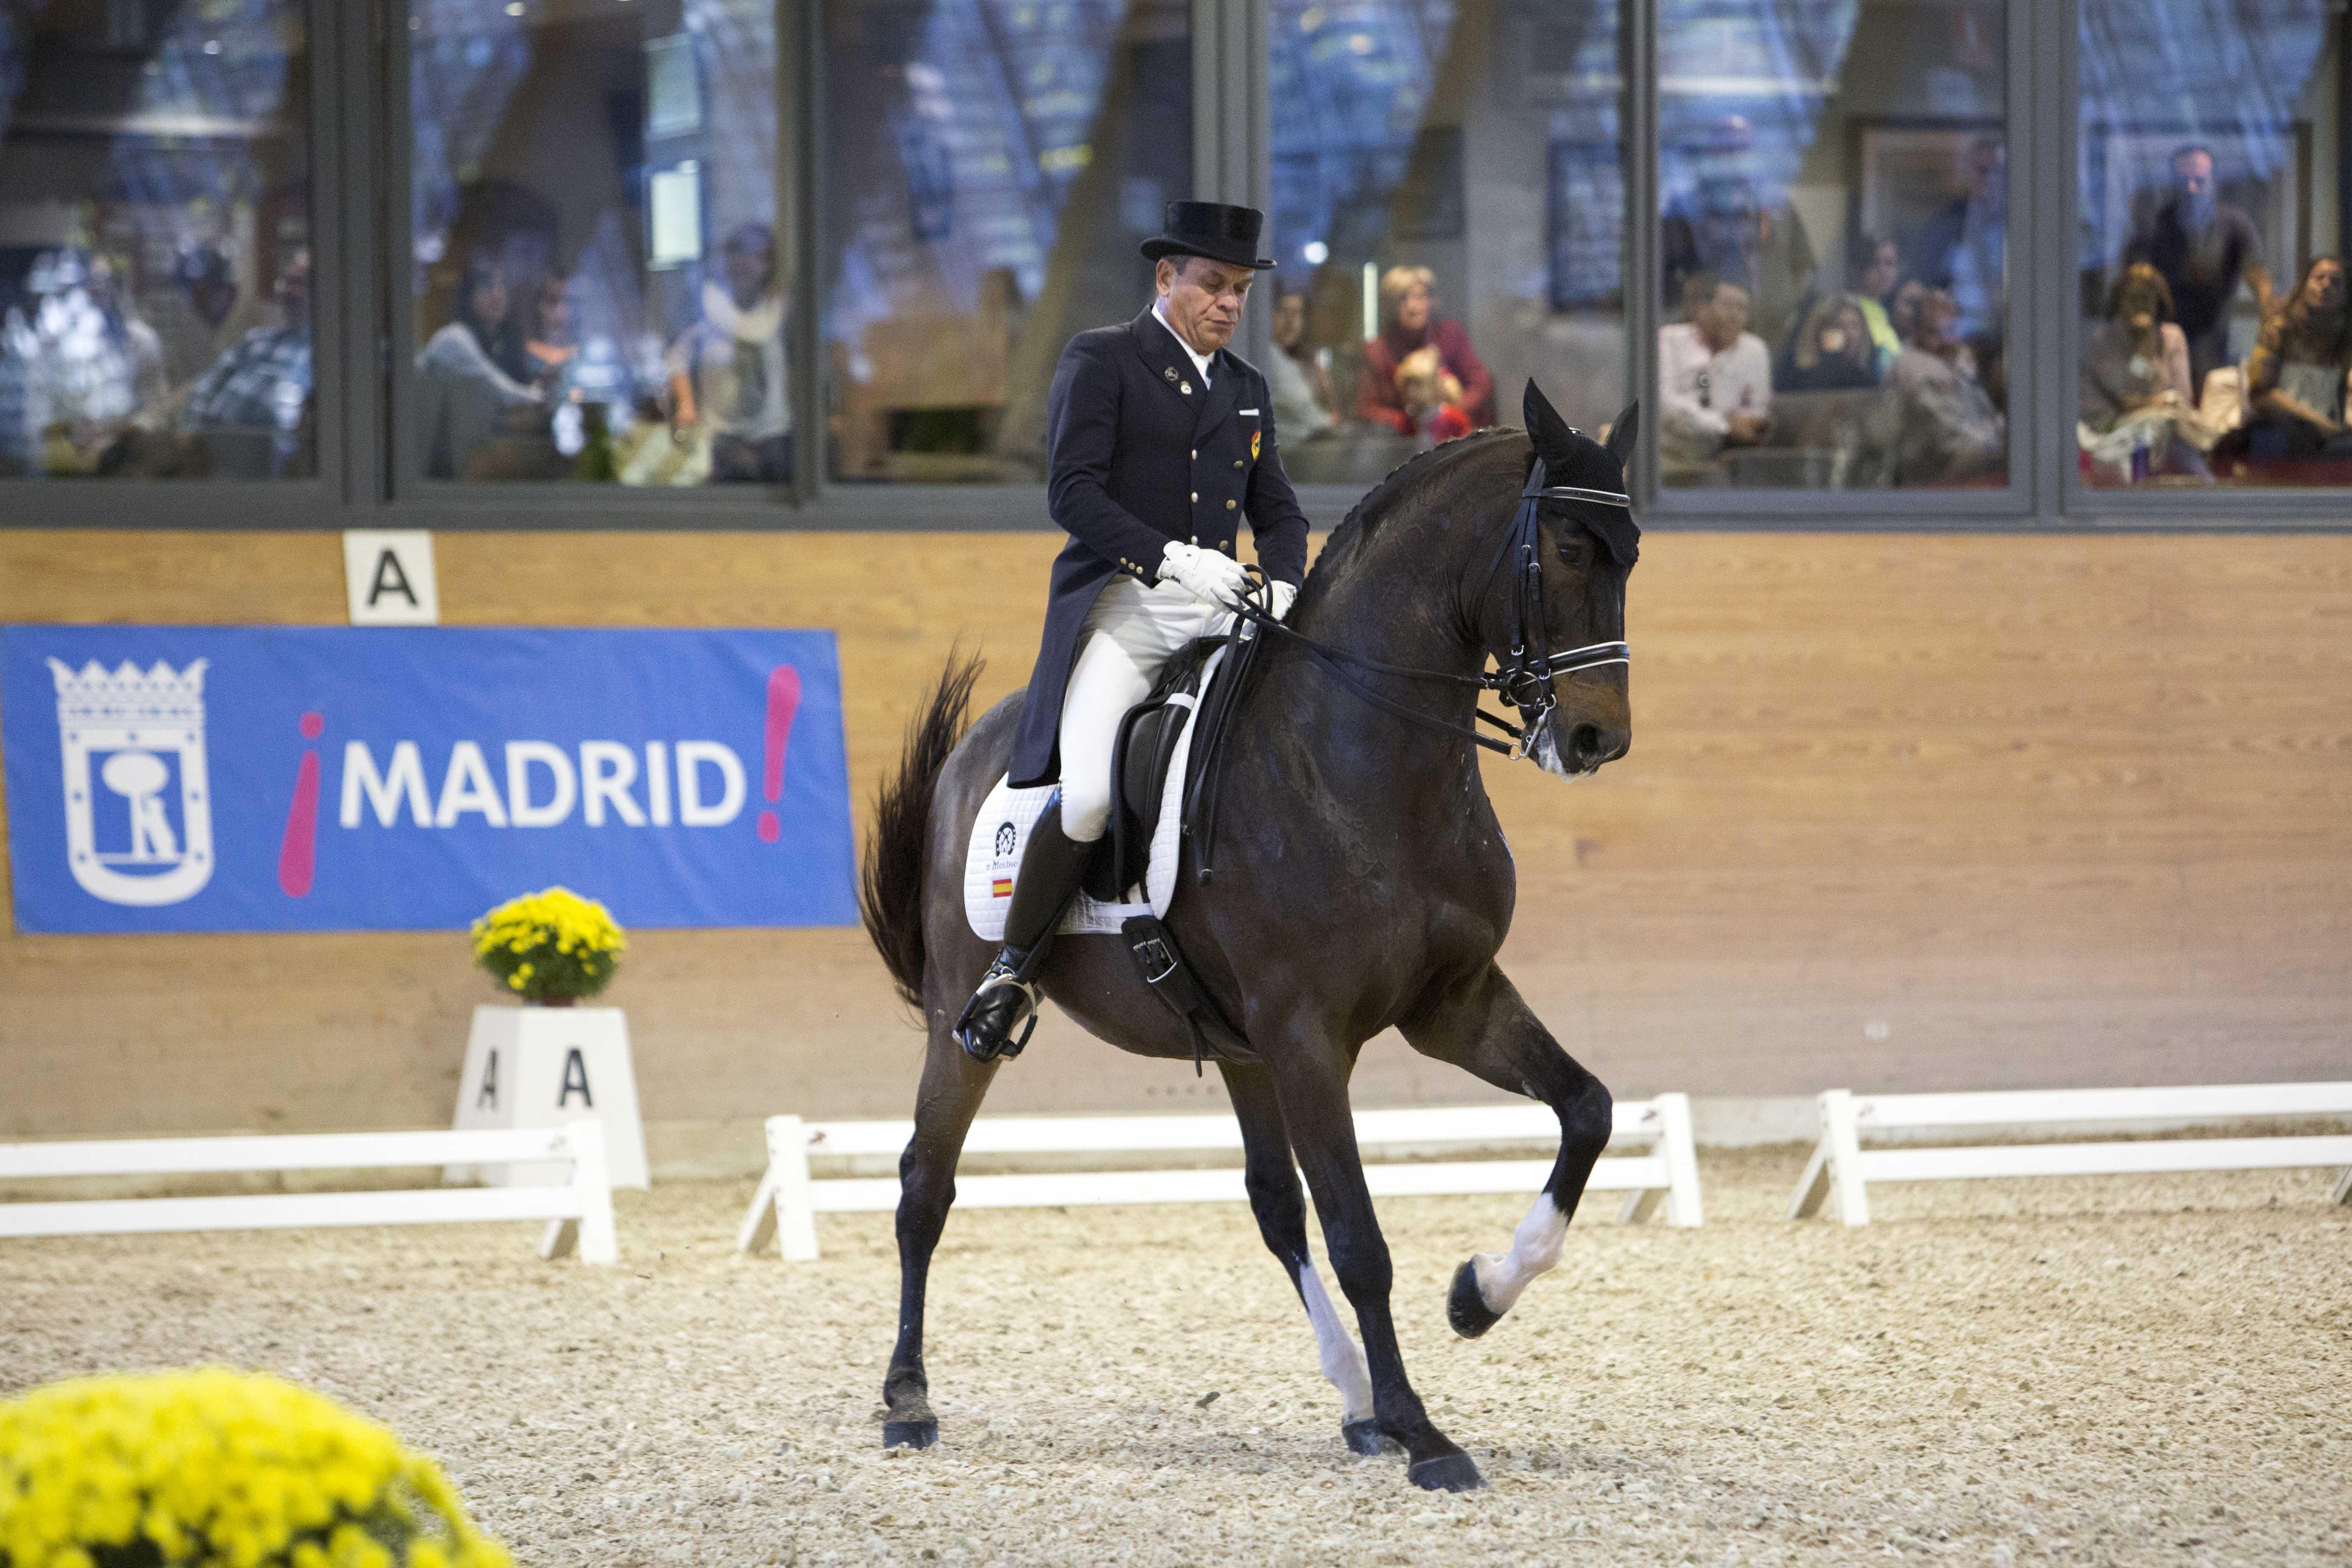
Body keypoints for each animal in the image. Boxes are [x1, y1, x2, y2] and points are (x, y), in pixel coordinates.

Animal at [861, 385, 1637, 1495]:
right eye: (1569, 548)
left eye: (1631, 552)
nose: (1594, 739)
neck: (1364, 759)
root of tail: (980, 747)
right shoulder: (1312, 1036)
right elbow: (1361, 1239)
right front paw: (1426, 1433)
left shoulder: (1451, 1002)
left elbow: (1587, 1111)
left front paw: (1478, 1295)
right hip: (962, 1021)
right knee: (924, 1184)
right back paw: (907, 1400)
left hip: (1238, 1046)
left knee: (1272, 1203)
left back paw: (1354, 1400)